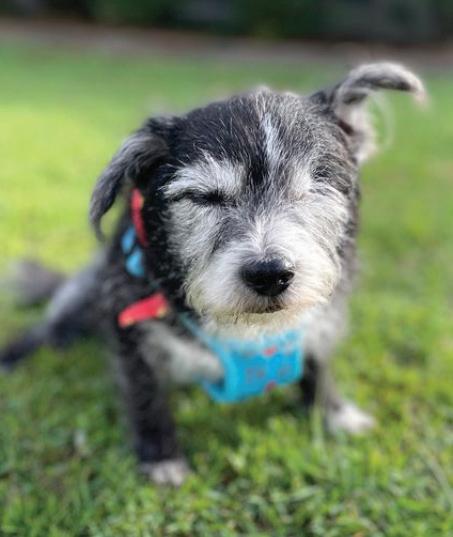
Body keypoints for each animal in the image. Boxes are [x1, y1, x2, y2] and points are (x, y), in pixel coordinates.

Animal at [0, 63, 425, 486]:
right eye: (204, 197)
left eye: (311, 189)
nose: (269, 274)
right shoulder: (130, 331)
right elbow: (146, 396)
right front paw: (162, 457)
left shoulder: (322, 320)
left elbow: (318, 364)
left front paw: (332, 413)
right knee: (48, 327)